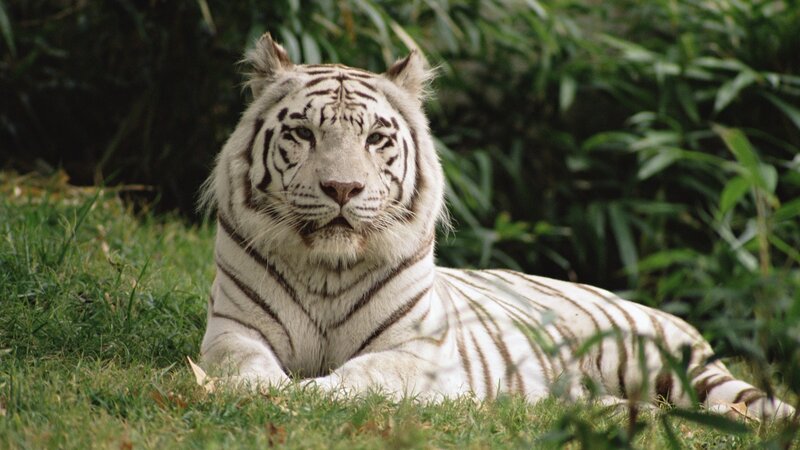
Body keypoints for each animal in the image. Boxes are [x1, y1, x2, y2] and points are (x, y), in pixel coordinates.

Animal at [198, 32, 795, 420]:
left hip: (667, 360)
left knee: (747, 400)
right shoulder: (234, 328)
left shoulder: (420, 353)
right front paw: (261, 390)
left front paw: (306, 393)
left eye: (376, 139)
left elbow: (363, 375)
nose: (343, 189)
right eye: (302, 133)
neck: (328, 266)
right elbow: (242, 365)